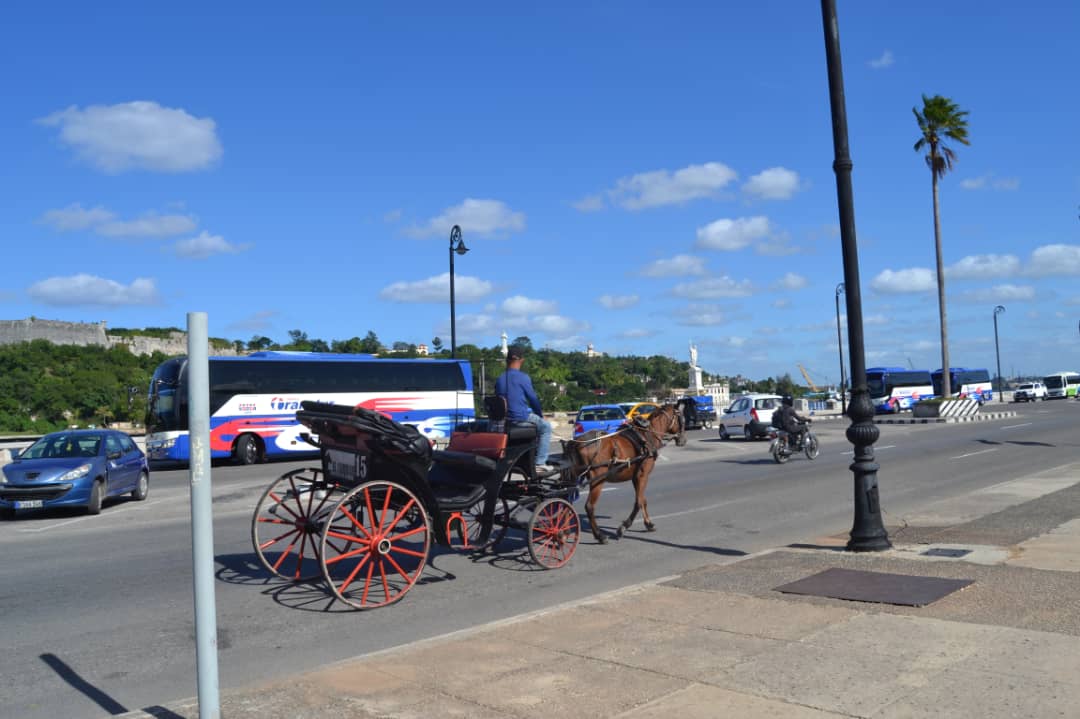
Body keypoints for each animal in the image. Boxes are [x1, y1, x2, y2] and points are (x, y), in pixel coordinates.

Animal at [561, 403, 686, 544]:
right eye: (681, 419)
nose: (683, 440)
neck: (647, 436)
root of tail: (577, 442)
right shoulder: (642, 476)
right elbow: (638, 502)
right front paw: (624, 527)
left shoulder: (635, 477)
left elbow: (643, 500)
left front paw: (648, 523)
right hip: (597, 480)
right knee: (589, 506)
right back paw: (599, 535)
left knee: (567, 500)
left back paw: (564, 531)